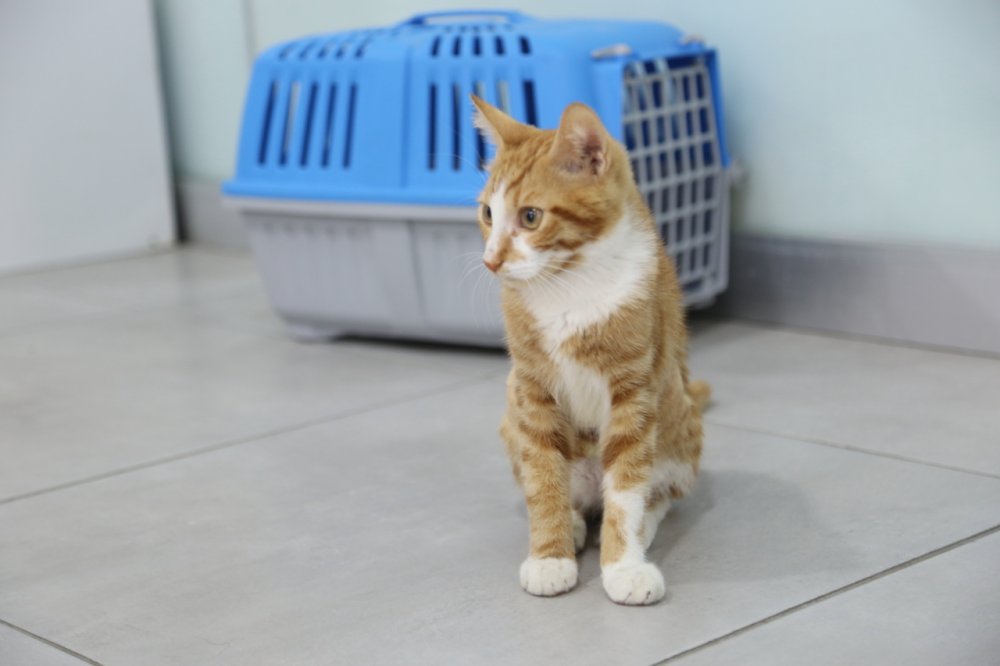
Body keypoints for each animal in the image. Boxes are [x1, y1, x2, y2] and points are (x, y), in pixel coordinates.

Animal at [471, 96, 710, 605]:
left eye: (531, 217)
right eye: (487, 214)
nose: (491, 260)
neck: (569, 285)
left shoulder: (634, 388)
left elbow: (627, 486)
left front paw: (623, 567)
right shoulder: (530, 386)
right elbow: (543, 476)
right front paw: (550, 557)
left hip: (683, 428)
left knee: (656, 493)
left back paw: (639, 528)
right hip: (510, 417)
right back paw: (576, 523)